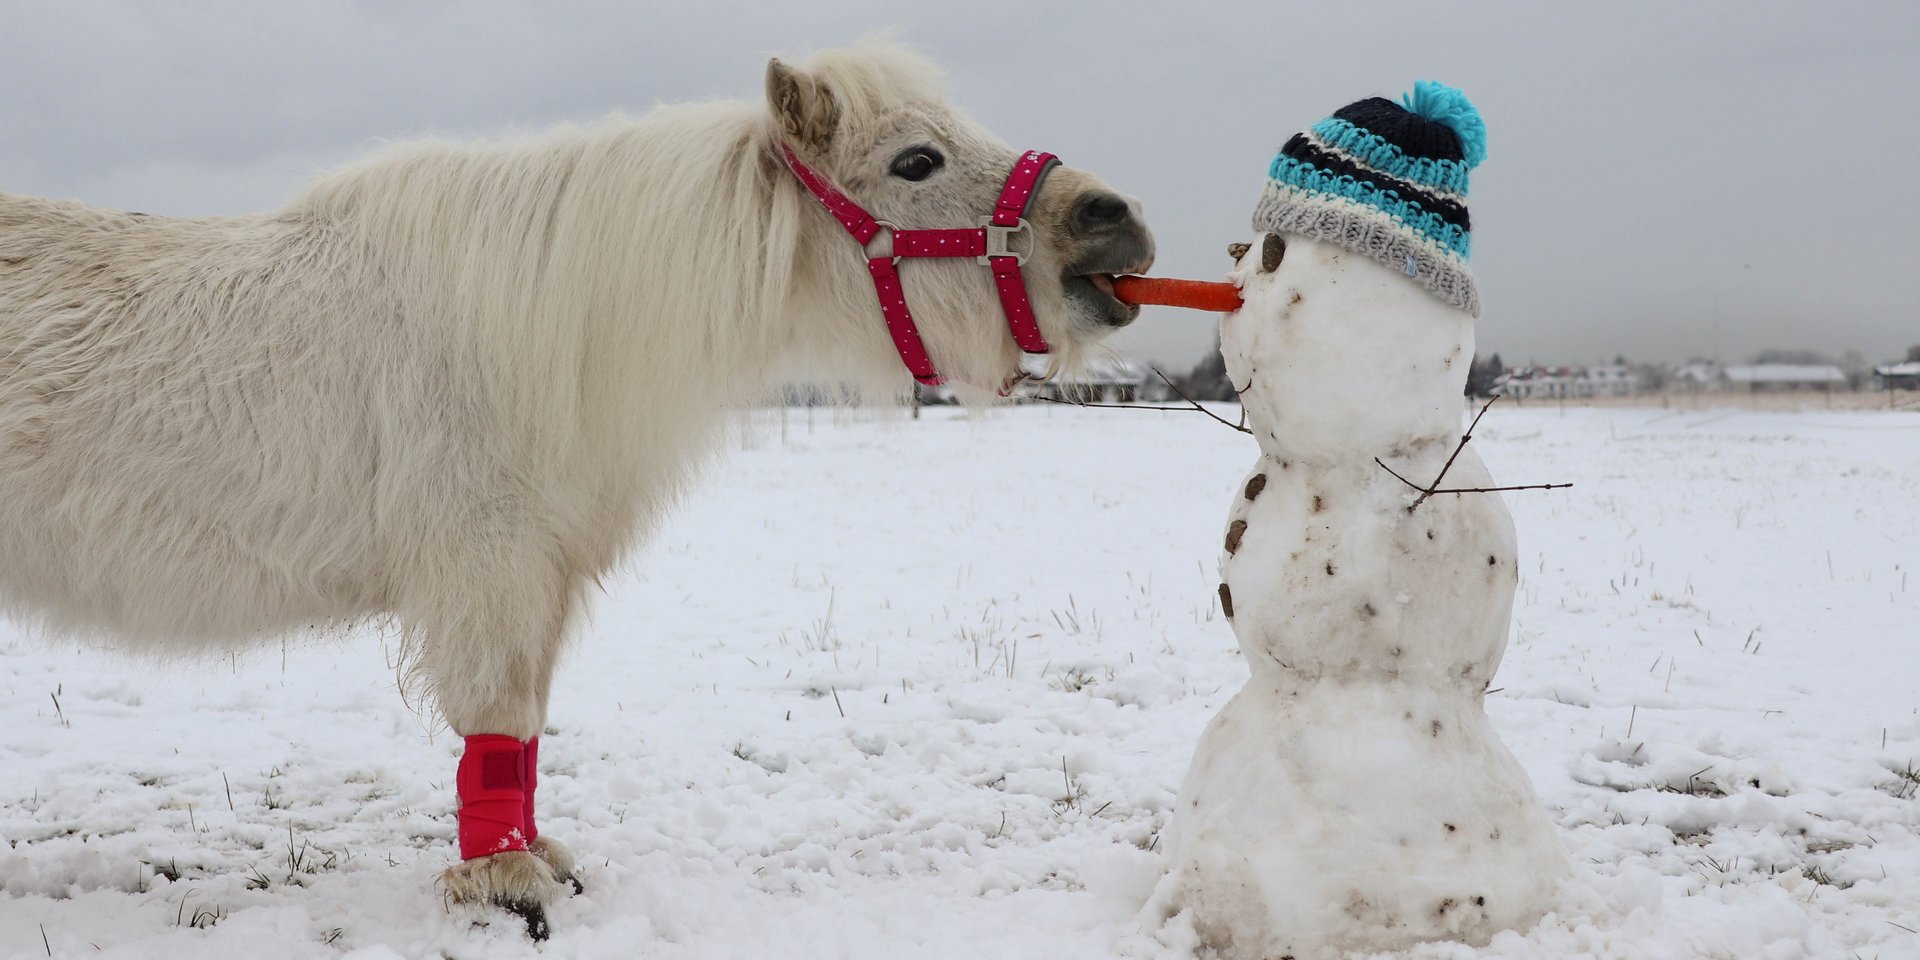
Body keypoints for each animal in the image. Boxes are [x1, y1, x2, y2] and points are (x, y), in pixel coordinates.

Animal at [0, 39, 1153, 937]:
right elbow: (497, 722)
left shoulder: (538, 575)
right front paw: (508, 885)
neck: (531, 330)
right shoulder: (490, 568)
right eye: (917, 161)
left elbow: (521, 737)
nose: (1116, 226)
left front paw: (535, 857)